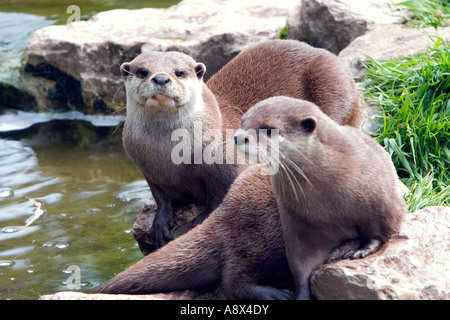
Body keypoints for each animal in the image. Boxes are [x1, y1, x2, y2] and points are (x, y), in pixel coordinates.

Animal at [121, 38, 364, 248]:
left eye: (179, 72)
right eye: (142, 72)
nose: (161, 78)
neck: (169, 152)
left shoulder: (226, 163)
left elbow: (219, 197)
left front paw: (192, 225)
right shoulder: (147, 168)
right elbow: (160, 196)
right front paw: (160, 222)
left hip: (333, 87)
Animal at [236, 96, 408, 298]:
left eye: (269, 129)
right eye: (242, 121)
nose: (238, 136)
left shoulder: (382, 201)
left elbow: (379, 232)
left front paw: (363, 250)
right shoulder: (298, 223)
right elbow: (301, 265)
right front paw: (301, 294)